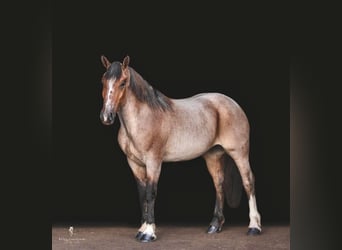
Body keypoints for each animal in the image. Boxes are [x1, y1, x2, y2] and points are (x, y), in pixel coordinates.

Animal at [99, 55, 262, 242]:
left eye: (123, 83)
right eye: (103, 80)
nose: (106, 116)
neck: (142, 119)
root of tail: (233, 104)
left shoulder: (154, 162)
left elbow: (150, 193)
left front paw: (148, 233)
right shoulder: (134, 163)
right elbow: (142, 195)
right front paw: (141, 230)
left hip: (239, 153)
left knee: (248, 181)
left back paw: (254, 226)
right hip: (213, 155)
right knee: (219, 184)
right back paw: (215, 225)